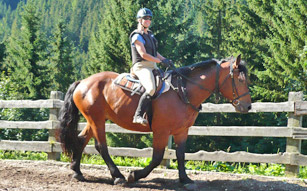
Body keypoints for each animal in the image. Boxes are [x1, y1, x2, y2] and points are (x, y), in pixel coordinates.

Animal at [58, 54, 253, 186]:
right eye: (239, 79)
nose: (247, 106)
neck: (182, 90)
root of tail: (83, 82)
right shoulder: (161, 131)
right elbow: (157, 158)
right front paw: (134, 175)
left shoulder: (182, 130)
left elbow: (180, 154)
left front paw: (185, 179)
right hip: (97, 119)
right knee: (101, 146)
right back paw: (118, 176)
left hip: (94, 120)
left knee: (81, 140)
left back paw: (77, 172)